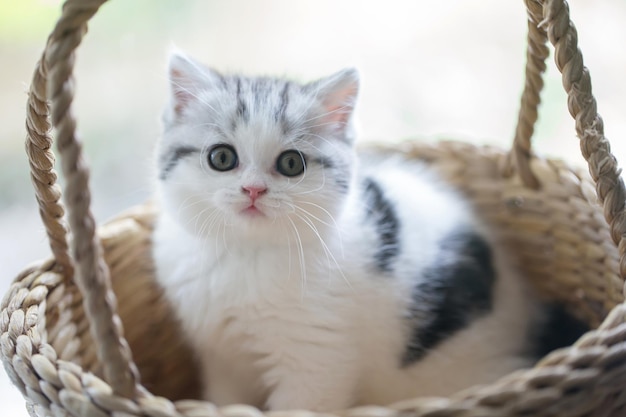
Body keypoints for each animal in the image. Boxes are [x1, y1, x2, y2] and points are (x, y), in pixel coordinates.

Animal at [152, 51, 584, 410]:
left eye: (291, 164)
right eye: (222, 157)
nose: (253, 190)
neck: (245, 252)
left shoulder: (317, 359)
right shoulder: (221, 357)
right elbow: (226, 398)